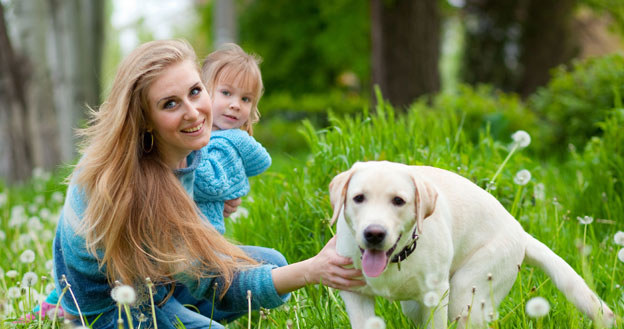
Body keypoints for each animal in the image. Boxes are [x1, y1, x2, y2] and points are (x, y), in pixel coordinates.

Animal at [332, 161, 616, 328]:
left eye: (398, 201)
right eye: (359, 198)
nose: (374, 233)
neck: (396, 259)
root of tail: (521, 232)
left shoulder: (436, 298)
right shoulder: (356, 298)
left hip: (465, 294)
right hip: (416, 307)